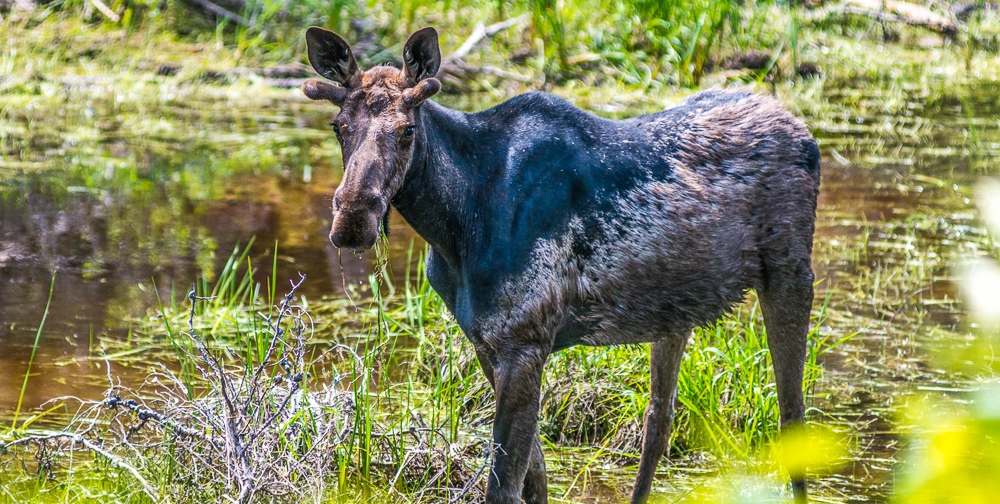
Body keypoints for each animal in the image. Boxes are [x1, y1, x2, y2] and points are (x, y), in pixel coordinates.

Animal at [302, 26, 820, 504]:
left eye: (408, 129)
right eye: (338, 127)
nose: (352, 220)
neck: (455, 225)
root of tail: (803, 133)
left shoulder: (525, 340)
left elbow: (505, 486)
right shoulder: (487, 343)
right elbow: (535, 478)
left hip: (791, 272)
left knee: (792, 416)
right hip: (676, 311)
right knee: (659, 421)